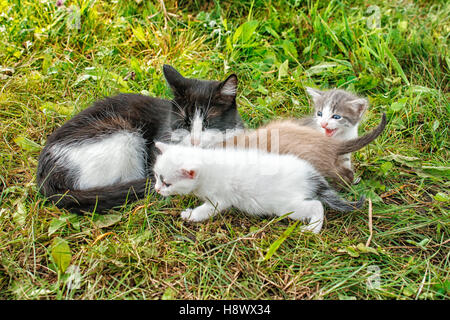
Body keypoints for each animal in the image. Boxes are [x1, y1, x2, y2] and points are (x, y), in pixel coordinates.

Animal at [153, 142, 364, 232]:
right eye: (156, 176)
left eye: (167, 183)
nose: (156, 189)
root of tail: (310, 175)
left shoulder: (219, 200)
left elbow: (206, 210)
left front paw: (189, 215)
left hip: (287, 207)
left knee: (316, 206)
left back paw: (313, 227)